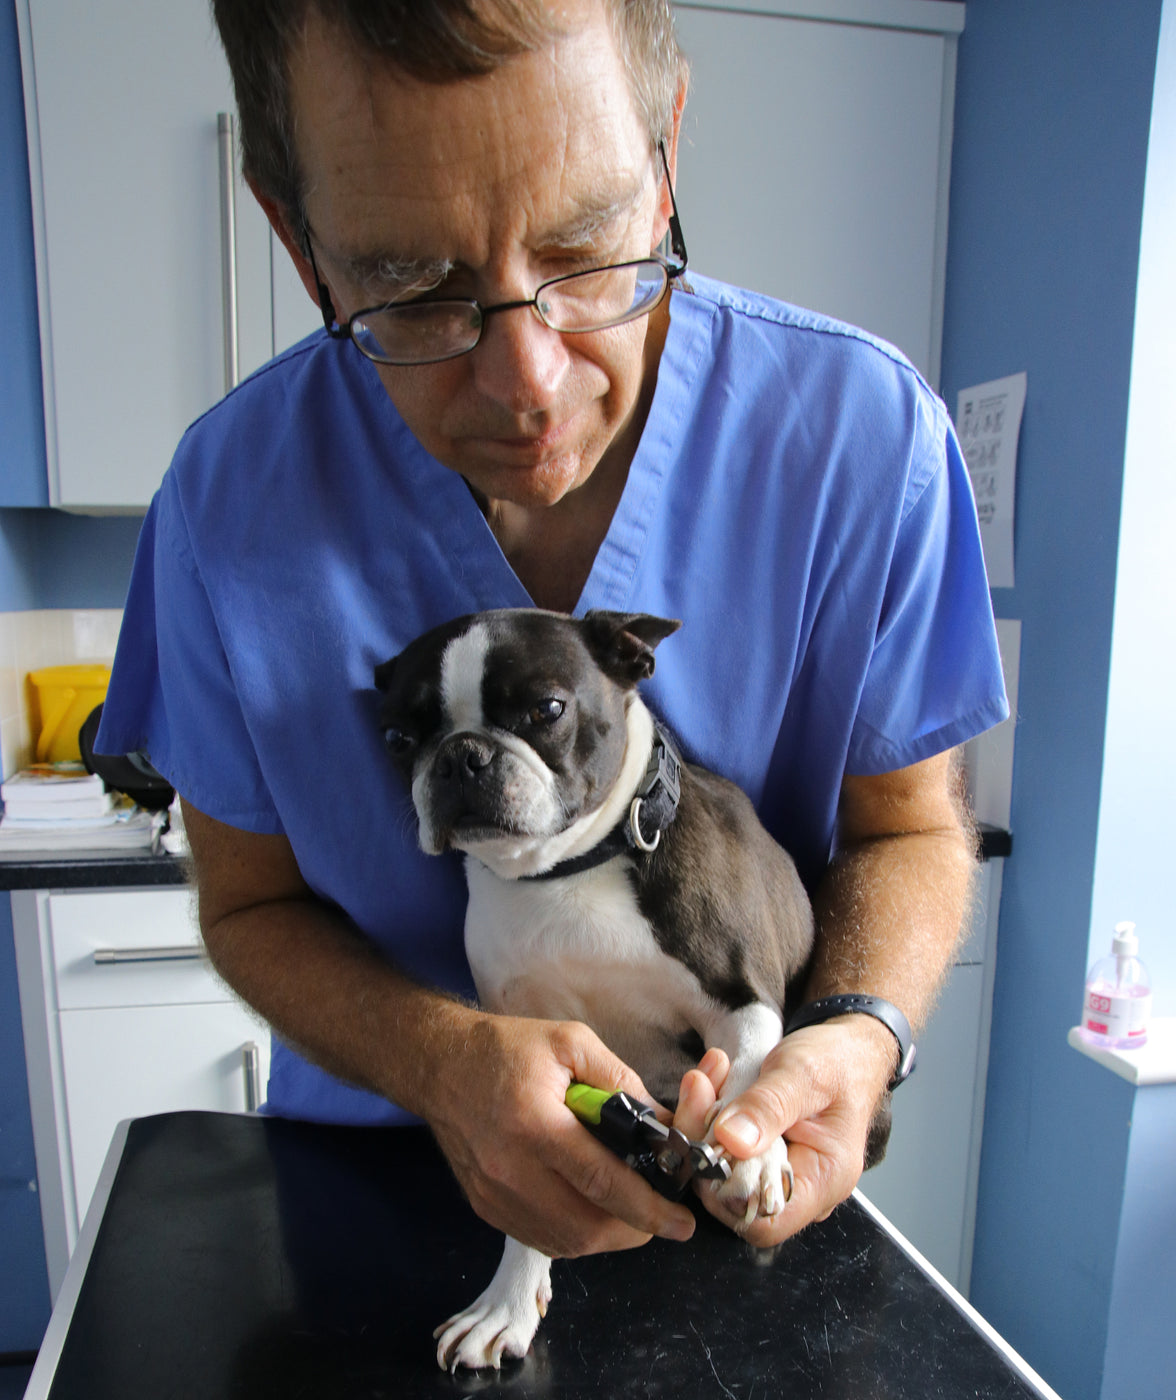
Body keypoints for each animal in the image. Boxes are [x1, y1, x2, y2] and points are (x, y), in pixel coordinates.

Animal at [378, 604, 817, 1366]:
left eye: (546, 710)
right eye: (400, 739)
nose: (462, 754)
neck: (567, 870)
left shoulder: (743, 1000)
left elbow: (750, 1072)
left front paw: (754, 1156)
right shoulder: (529, 1058)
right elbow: (529, 1201)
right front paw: (509, 1300)